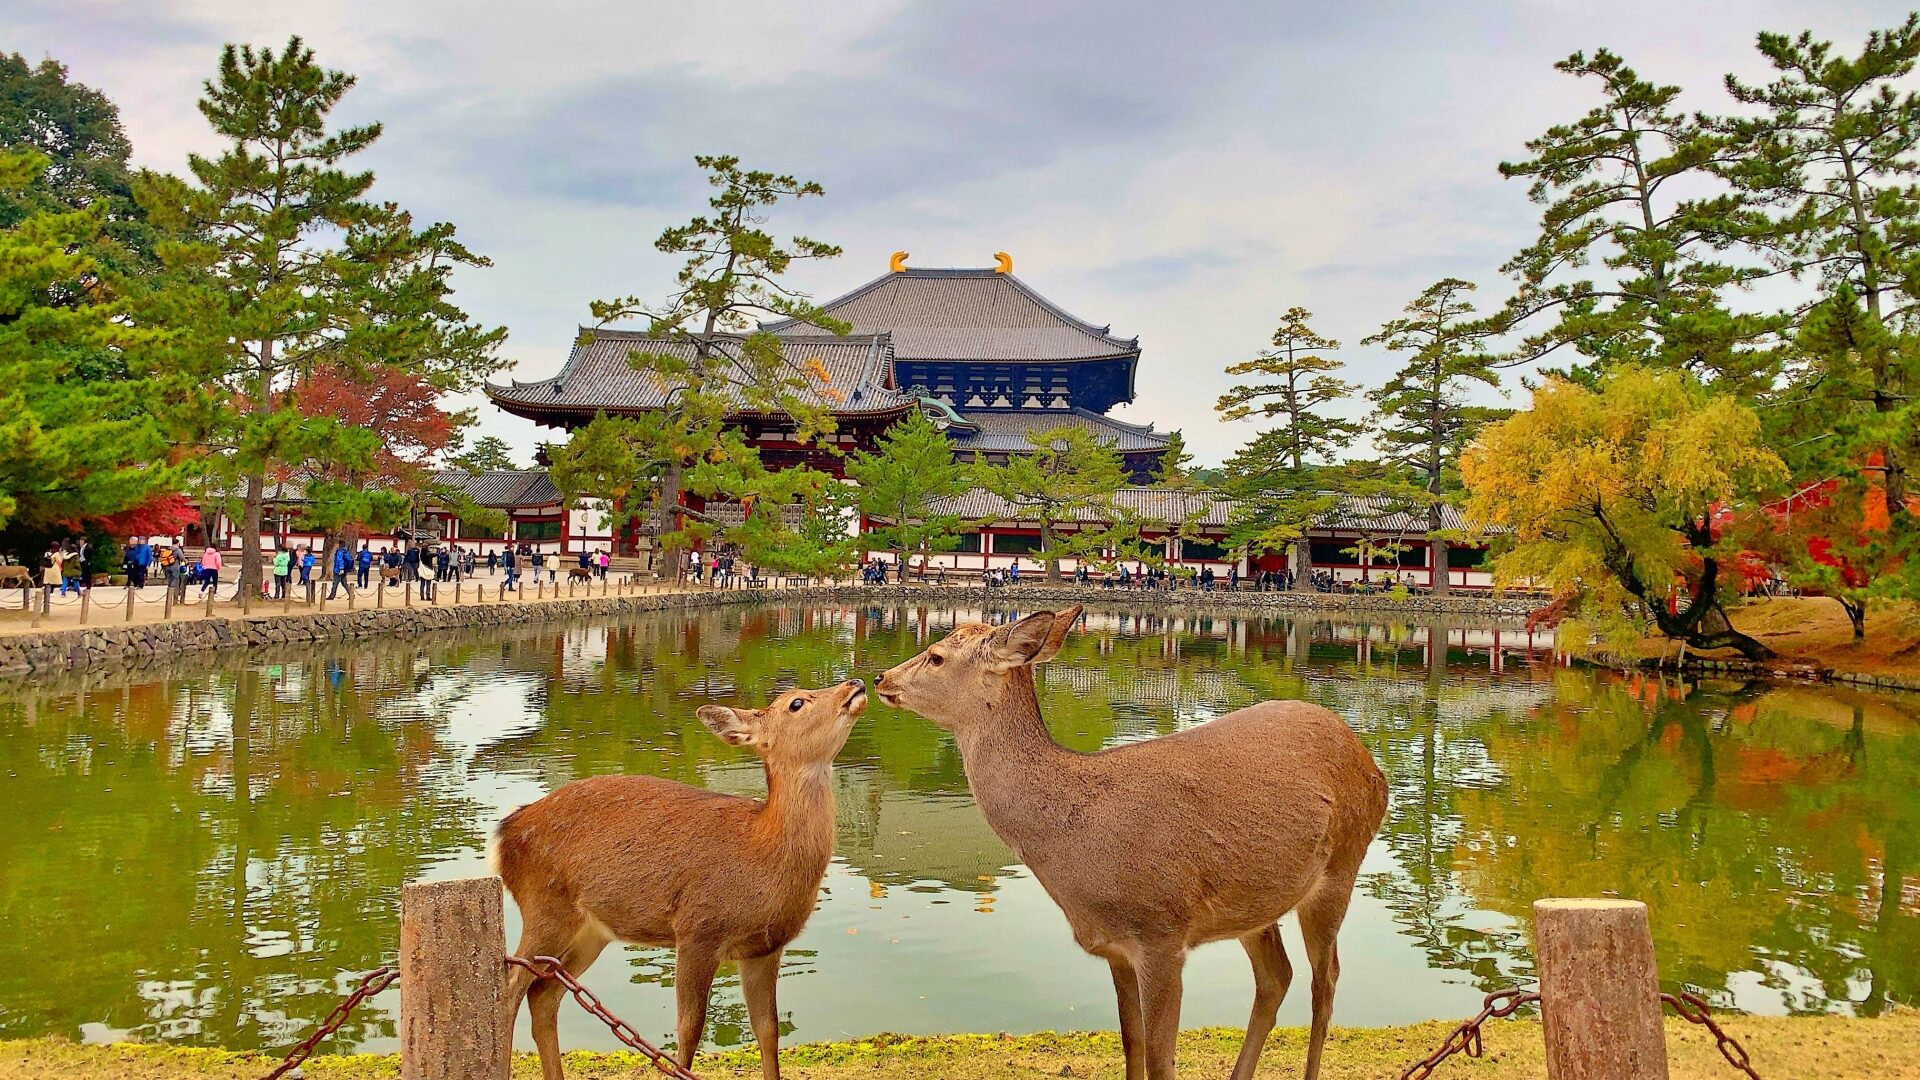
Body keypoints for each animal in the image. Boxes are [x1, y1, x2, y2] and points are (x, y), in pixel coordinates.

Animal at [491, 679, 868, 1080]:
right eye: (796, 703)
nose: (856, 683)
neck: (762, 853)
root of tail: (504, 835)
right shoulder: (697, 929)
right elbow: (689, 1030)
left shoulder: (765, 947)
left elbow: (768, 1030)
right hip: (544, 907)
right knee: (511, 989)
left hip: (591, 931)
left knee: (543, 995)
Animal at [875, 607, 1387, 1080]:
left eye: (937, 656)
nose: (881, 677)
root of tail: (1371, 764)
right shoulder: (1115, 947)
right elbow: (1131, 1042)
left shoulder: (1162, 934)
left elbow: (1161, 1058)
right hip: (1257, 903)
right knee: (1277, 977)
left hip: (1343, 865)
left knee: (1326, 981)